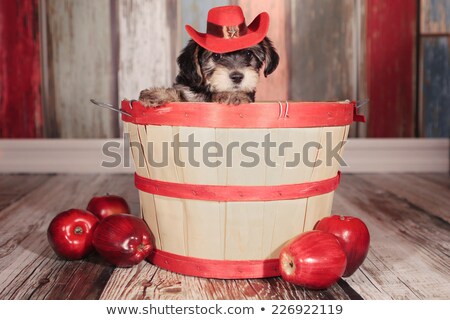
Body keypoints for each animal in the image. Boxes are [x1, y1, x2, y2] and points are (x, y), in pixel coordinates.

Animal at [138, 5, 278, 107]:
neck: (208, 91)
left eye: (249, 53)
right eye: (216, 56)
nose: (237, 77)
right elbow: (181, 97)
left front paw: (233, 95)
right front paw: (157, 94)